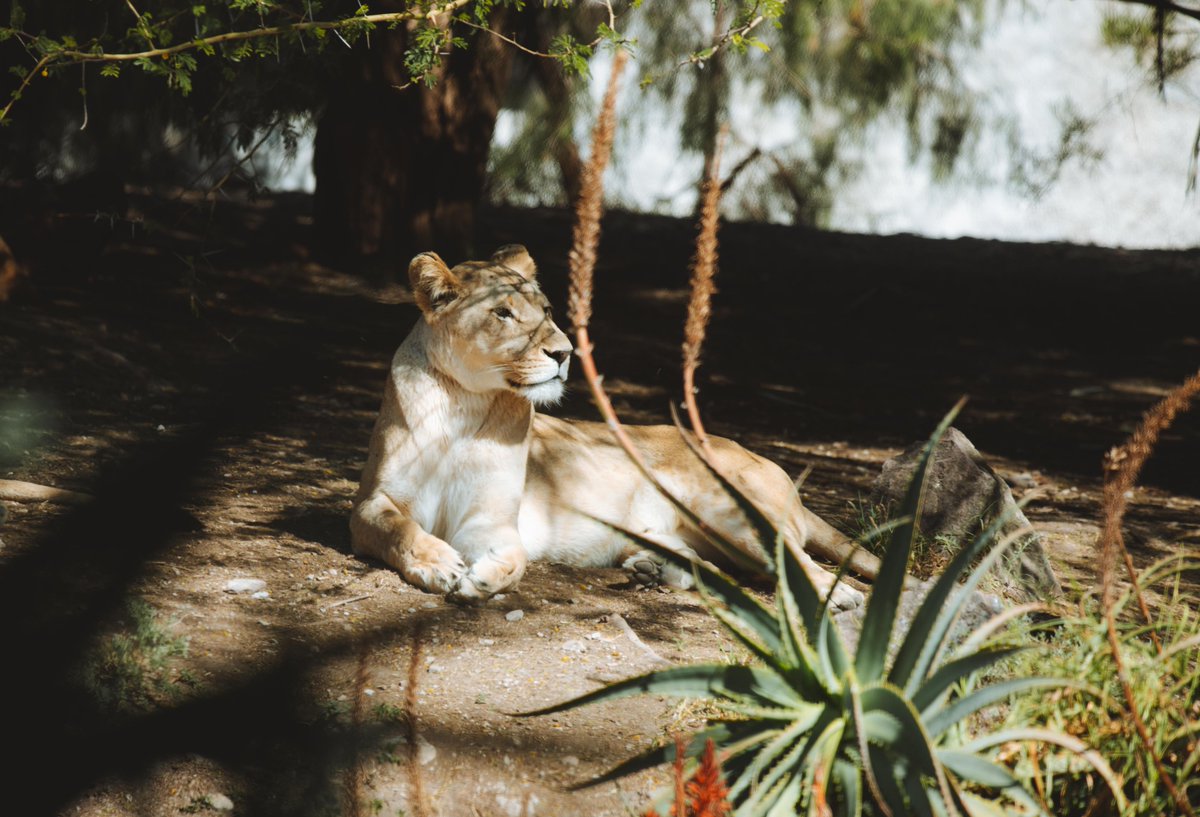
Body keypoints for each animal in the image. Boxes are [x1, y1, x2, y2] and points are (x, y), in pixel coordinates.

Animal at [350, 245, 866, 610]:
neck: (464, 404)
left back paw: (837, 595)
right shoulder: (372, 501)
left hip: (731, 513)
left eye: (546, 310)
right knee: (721, 571)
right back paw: (654, 571)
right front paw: (438, 564)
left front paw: (481, 579)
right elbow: (396, 529)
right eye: (503, 313)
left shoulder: (491, 517)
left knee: (794, 561)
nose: (564, 352)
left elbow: (515, 559)